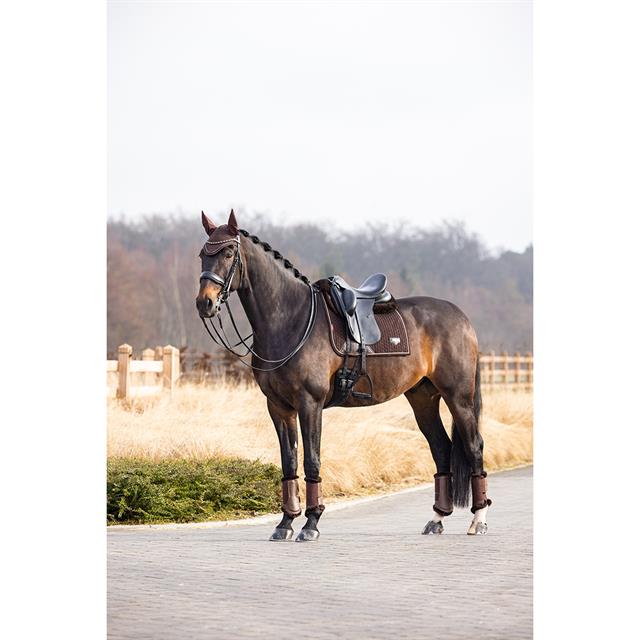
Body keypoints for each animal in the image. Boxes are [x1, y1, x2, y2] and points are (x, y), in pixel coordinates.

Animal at [195, 210, 490, 540]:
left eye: (228, 253)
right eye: (202, 255)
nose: (205, 303)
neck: (291, 320)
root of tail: (462, 318)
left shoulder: (309, 403)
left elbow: (311, 460)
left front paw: (310, 523)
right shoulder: (279, 407)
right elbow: (289, 463)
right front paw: (285, 523)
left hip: (458, 397)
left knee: (474, 447)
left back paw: (478, 519)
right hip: (423, 398)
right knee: (441, 448)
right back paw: (437, 518)